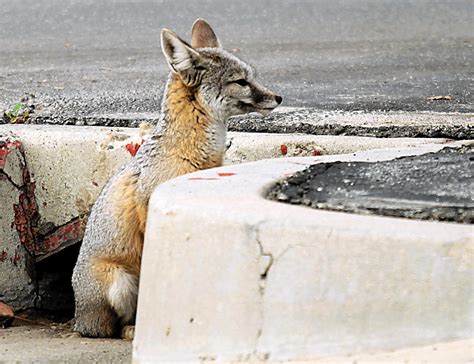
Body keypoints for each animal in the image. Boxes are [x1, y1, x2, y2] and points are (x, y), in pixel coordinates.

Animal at [70, 19, 282, 338]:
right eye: (241, 82)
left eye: (251, 78)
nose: (278, 97)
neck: (194, 153)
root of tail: (79, 317)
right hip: (118, 282)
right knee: (109, 327)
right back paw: (129, 329)